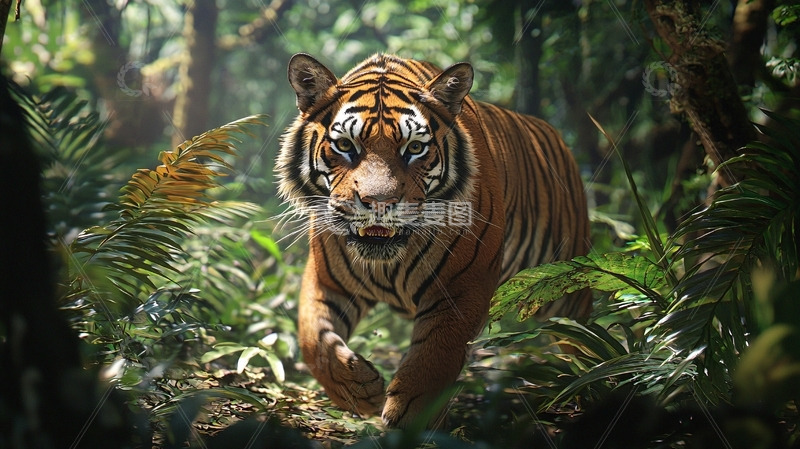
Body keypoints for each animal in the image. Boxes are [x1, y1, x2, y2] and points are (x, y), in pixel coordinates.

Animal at [276, 53, 591, 429]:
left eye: (414, 148)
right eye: (345, 145)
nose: (379, 202)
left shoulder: (464, 287)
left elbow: (435, 356)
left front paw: (410, 418)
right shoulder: (326, 282)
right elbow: (313, 340)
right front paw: (361, 390)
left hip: (566, 283)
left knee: (585, 332)